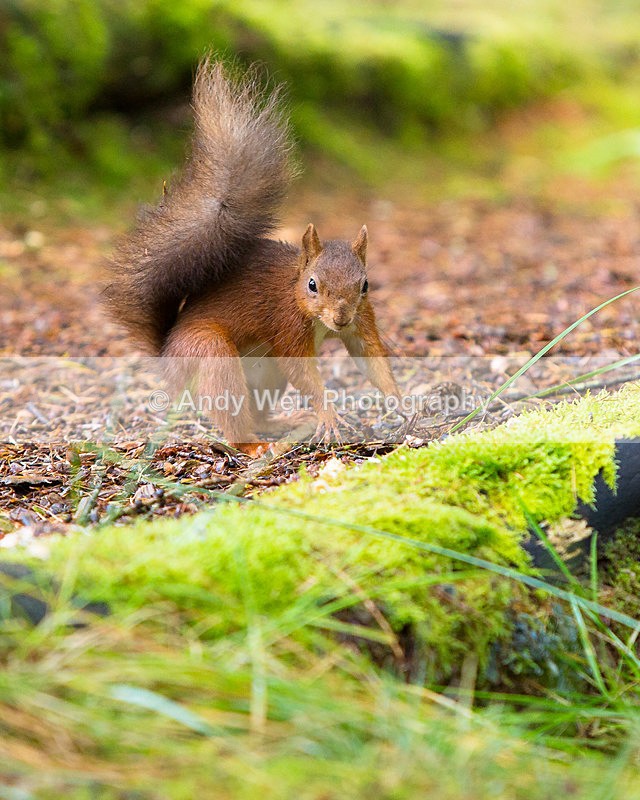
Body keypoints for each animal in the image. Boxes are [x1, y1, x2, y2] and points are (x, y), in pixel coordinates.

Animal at [105, 56, 399, 457]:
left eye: (365, 285)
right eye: (312, 284)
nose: (340, 318)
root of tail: (167, 357)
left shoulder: (362, 319)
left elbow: (369, 356)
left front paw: (400, 399)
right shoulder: (286, 324)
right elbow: (304, 373)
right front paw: (328, 414)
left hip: (264, 371)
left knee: (256, 411)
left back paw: (282, 423)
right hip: (212, 355)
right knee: (232, 414)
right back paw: (256, 446)